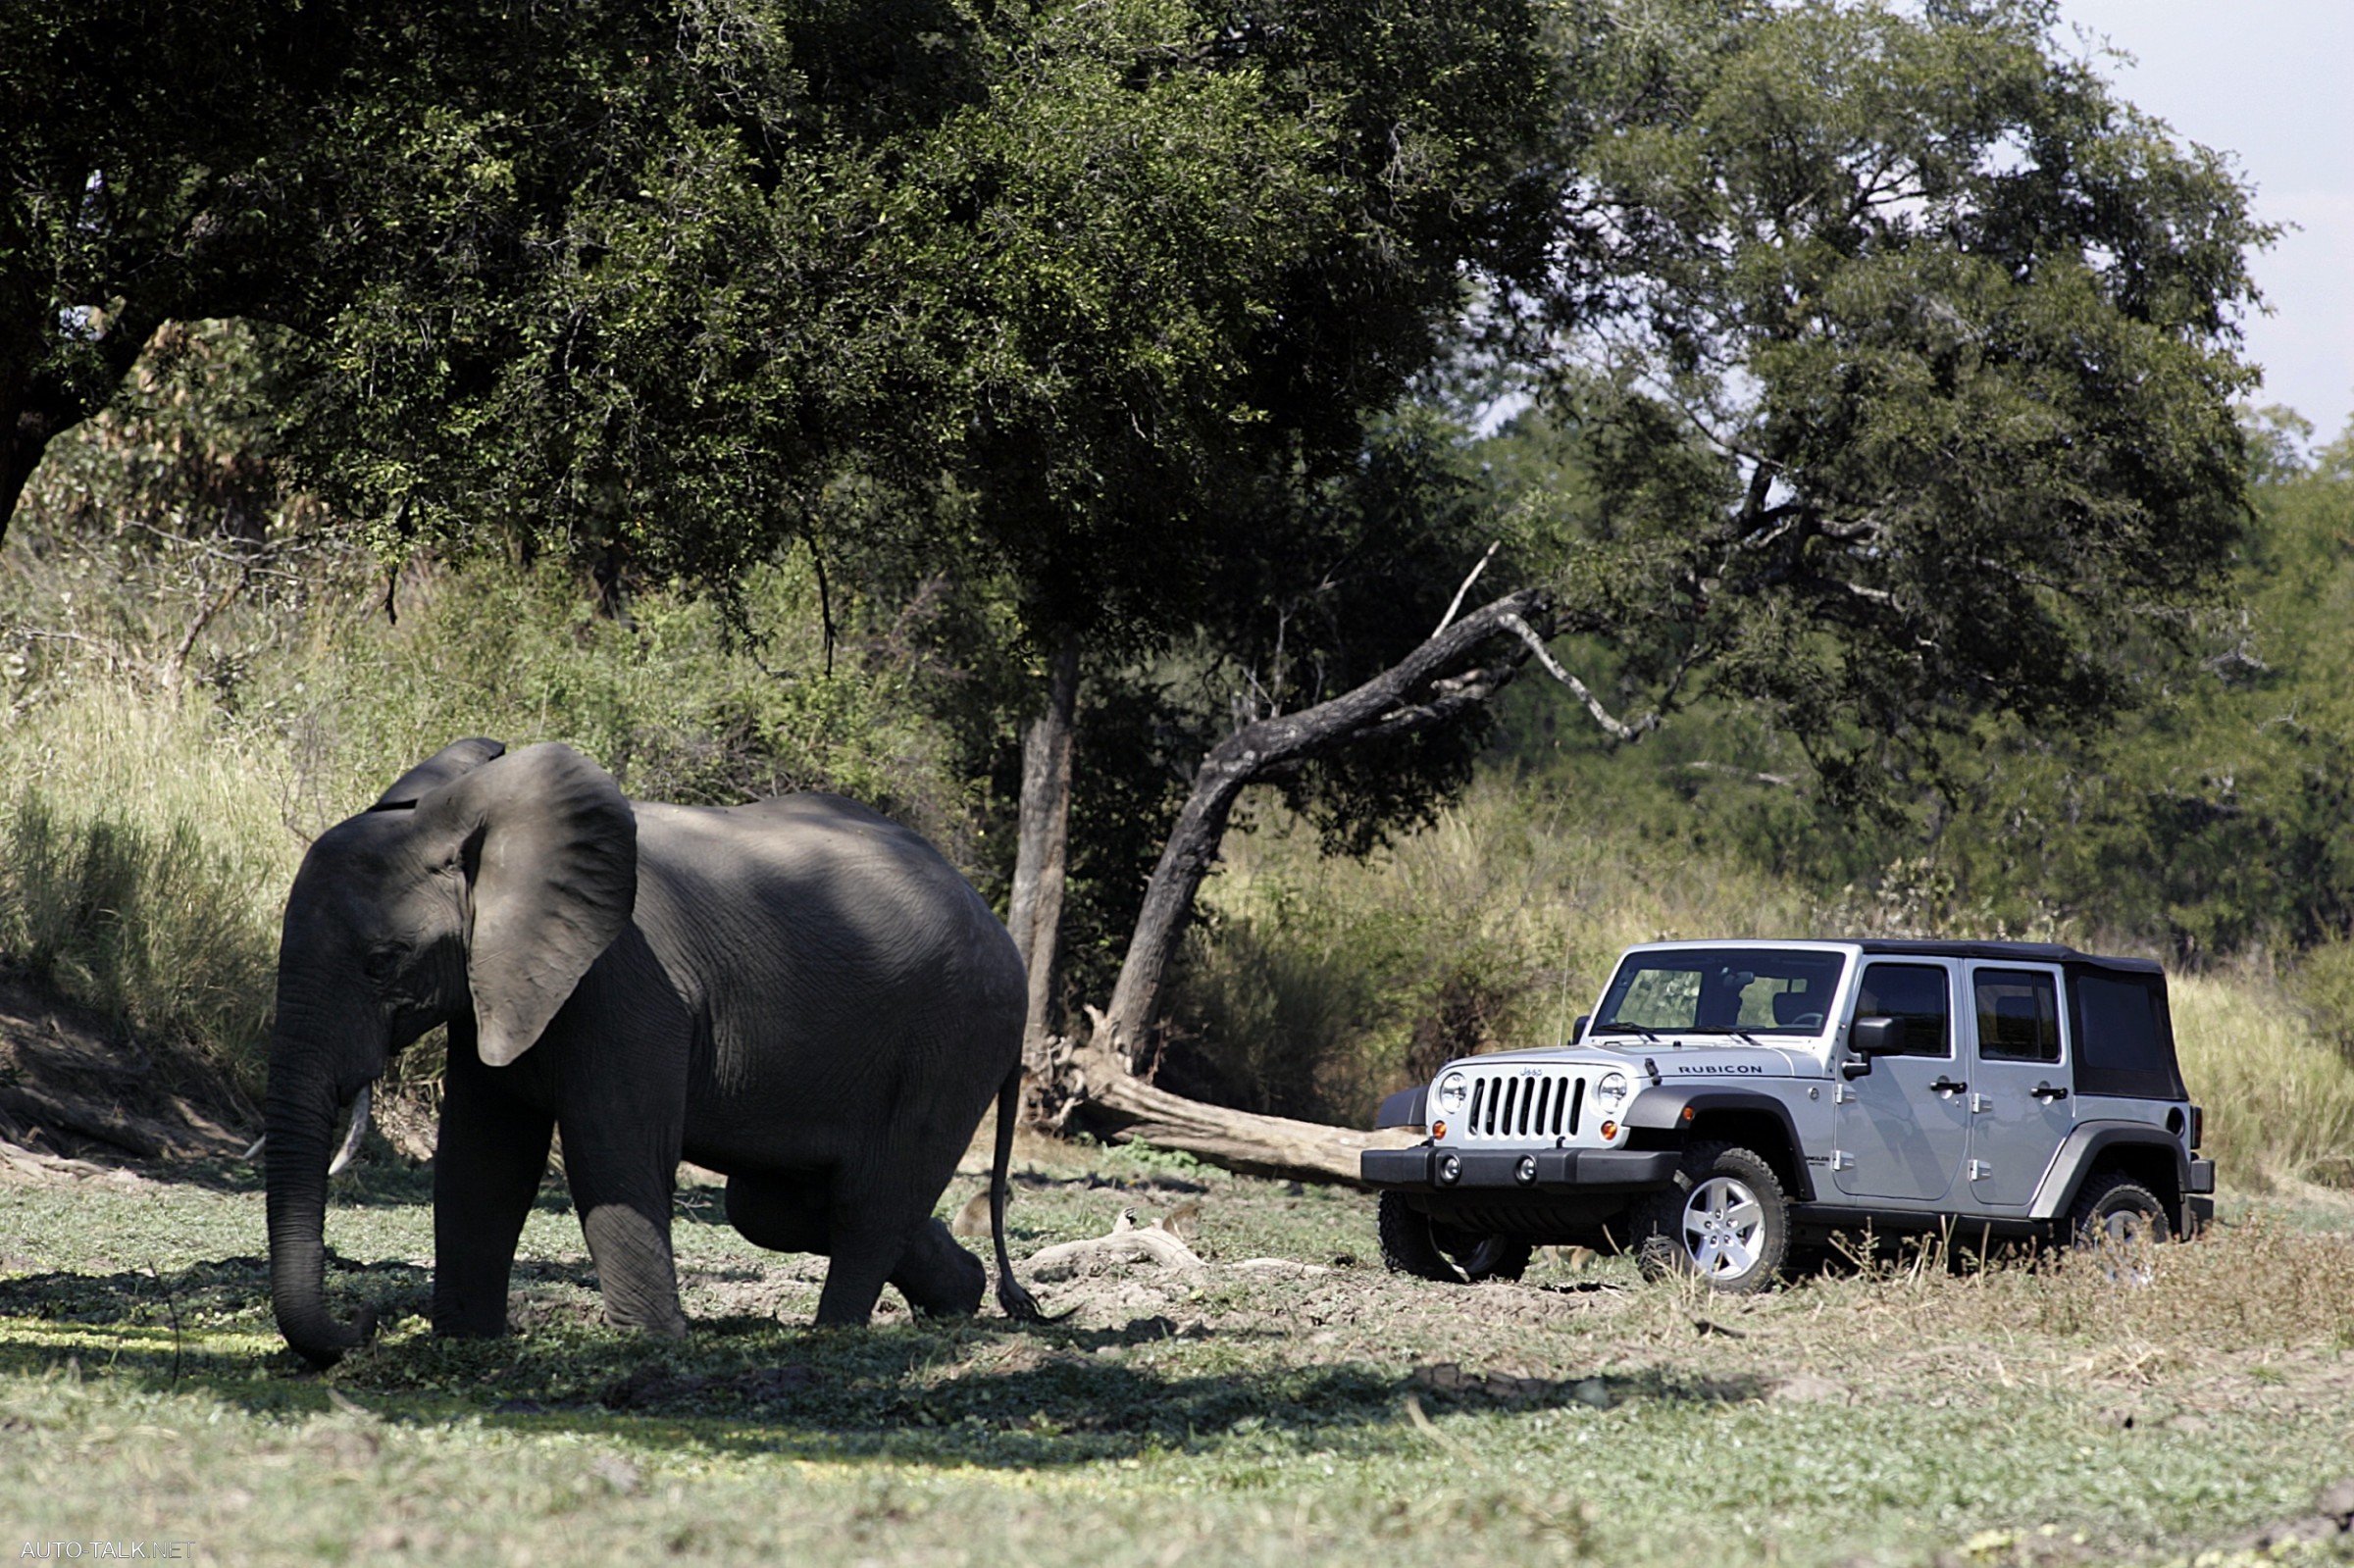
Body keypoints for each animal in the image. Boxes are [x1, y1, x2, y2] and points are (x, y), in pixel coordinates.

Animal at [262, 734, 1045, 1355]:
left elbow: (610, 1147)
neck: (466, 820)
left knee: (869, 1200)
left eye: (382, 962)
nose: (363, 1322)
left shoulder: (627, 986)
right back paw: (960, 1298)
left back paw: (835, 1336)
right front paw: (464, 1342)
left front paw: (651, 1343)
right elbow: (483, 1155)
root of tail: (996, 923)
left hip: (956, 1040)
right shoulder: (502, 975)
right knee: (775, 1203)